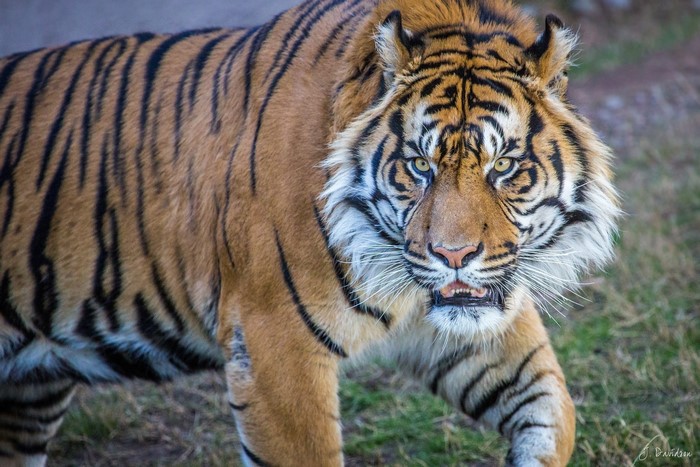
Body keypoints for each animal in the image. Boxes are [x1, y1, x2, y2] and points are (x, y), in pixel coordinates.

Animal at [0, 0, 621, 465]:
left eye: (504, 167)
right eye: (419, 166)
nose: (453, 255)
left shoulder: (465, 326)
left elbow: (556, 412)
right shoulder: (275, 346)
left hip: (30, 392)